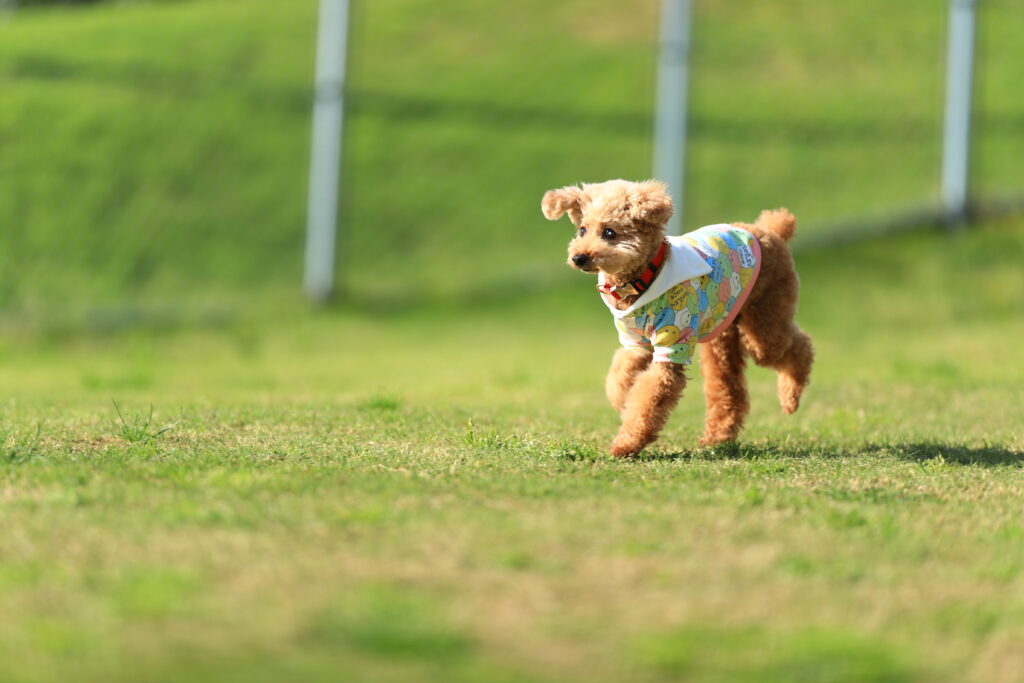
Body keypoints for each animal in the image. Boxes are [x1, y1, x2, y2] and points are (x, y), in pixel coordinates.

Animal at [540, 179, 811, 456]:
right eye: (582, 229)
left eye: (609, 233)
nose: (579, 257)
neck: (643, 279)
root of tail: (769, 230)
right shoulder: (635, 342)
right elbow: (622, 371)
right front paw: (621, 399)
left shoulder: (672, 344)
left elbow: (651, 396)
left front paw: (626, 444)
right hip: (720, 330)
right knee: (727, 387)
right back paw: (718, 437)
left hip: (765, 318)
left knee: (797, 345)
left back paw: (790, 398)